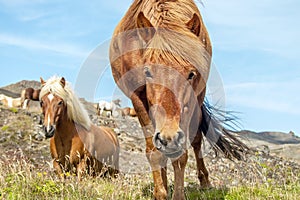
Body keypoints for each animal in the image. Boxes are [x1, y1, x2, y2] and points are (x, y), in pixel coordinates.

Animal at [110, 0, 248, 199]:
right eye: (147, 72)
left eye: (191, 74)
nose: (168, 135)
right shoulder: (137, 97)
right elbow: (154, 152)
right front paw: (160, 193)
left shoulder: (190, 102)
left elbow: (181, 154)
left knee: (196, 140)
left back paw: (204, 182)